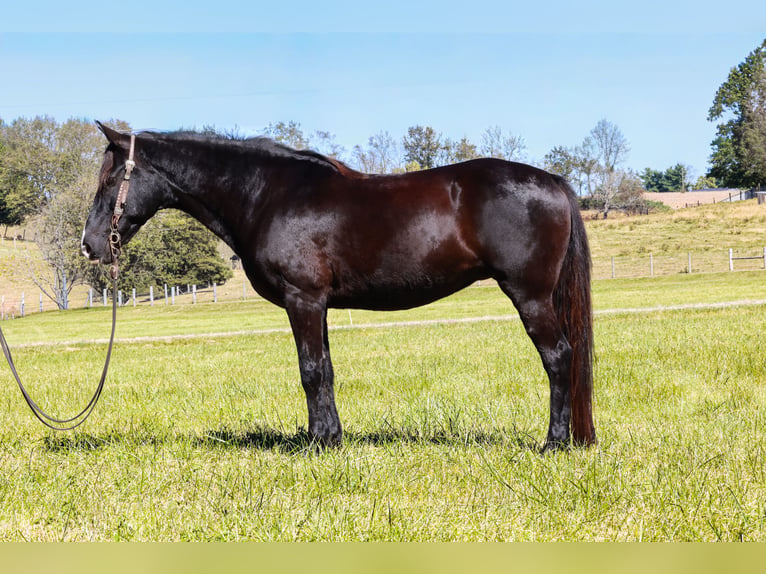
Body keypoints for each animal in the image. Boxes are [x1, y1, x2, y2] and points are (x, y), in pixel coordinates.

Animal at [82, 122, 596, 451]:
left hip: (530, 296)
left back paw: (554, 444)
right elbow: (325, 370)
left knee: (559, 358)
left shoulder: (303, 299)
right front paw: (331, 439)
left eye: (111, 179)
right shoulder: (319, 304)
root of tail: (552, 181)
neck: (266, 194)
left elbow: (310, 371)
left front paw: (315, 445)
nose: (90, 246)